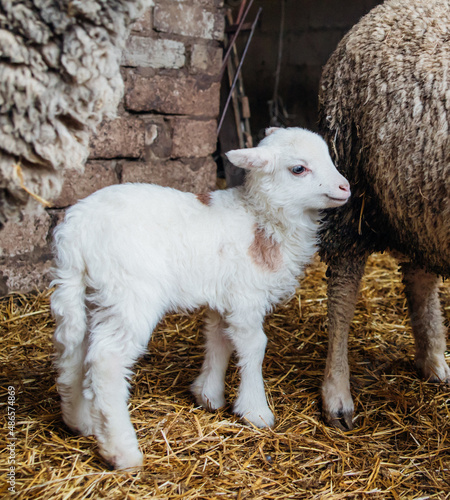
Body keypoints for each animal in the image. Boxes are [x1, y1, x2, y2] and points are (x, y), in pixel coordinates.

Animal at [50, 127, 352, 470]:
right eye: (298, 169)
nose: (345, 187)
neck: (262, 218)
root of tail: (75, 232)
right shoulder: (246, 297)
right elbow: (253, 346)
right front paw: (255, 410)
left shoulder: (223, 297)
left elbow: (218, 340)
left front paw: (208, 395)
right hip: (129, 294)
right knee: (106, 361)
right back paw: (122, 451)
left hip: (84, 292)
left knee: (72, 351)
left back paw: (80, 421)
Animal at [318, 0, 448, 430]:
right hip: (352, 175)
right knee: (343, 281)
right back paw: (337, 395)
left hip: (419, 198)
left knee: (419, 273)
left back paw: (433, 361)